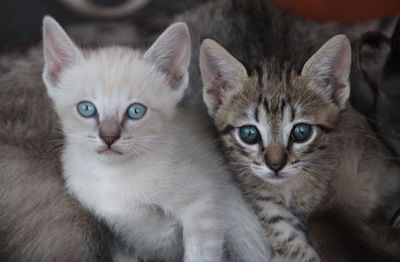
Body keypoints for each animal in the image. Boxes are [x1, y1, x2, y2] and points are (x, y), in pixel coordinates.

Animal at [41, 16, 272, 262]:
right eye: (86, 109)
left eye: (136, 111)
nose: (109, 137)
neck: (115, 177)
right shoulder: (116, 235)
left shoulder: (201, 205)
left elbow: (200, 254)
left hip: (235, 210)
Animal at [197, 35, 400, 260]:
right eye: (249, 134)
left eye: (301, 131)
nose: (275, 166)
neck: (288, 189)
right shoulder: (267, 206)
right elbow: (292, 243)